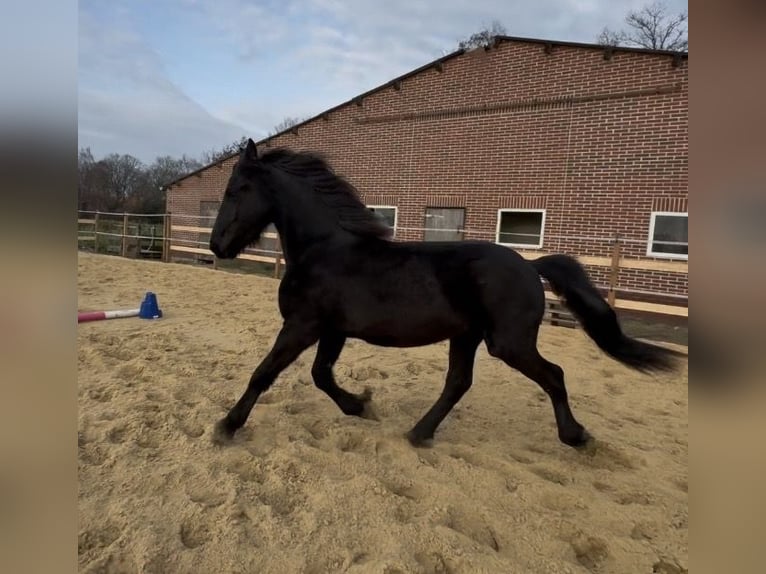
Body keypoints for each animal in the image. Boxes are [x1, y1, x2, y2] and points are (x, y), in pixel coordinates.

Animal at [209, 138, 680, 450]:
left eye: (235, 190)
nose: (217, 246)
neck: (324, 250)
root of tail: (530, 266)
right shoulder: (331, 330)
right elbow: (320, 375)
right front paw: (361, 405)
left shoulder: (302, 325)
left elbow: (264, 373)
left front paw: (226, 426)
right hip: (467, 336)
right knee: (459, 382)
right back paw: (419, 432)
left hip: (507, 343)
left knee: (554, 375)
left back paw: (575, 435)